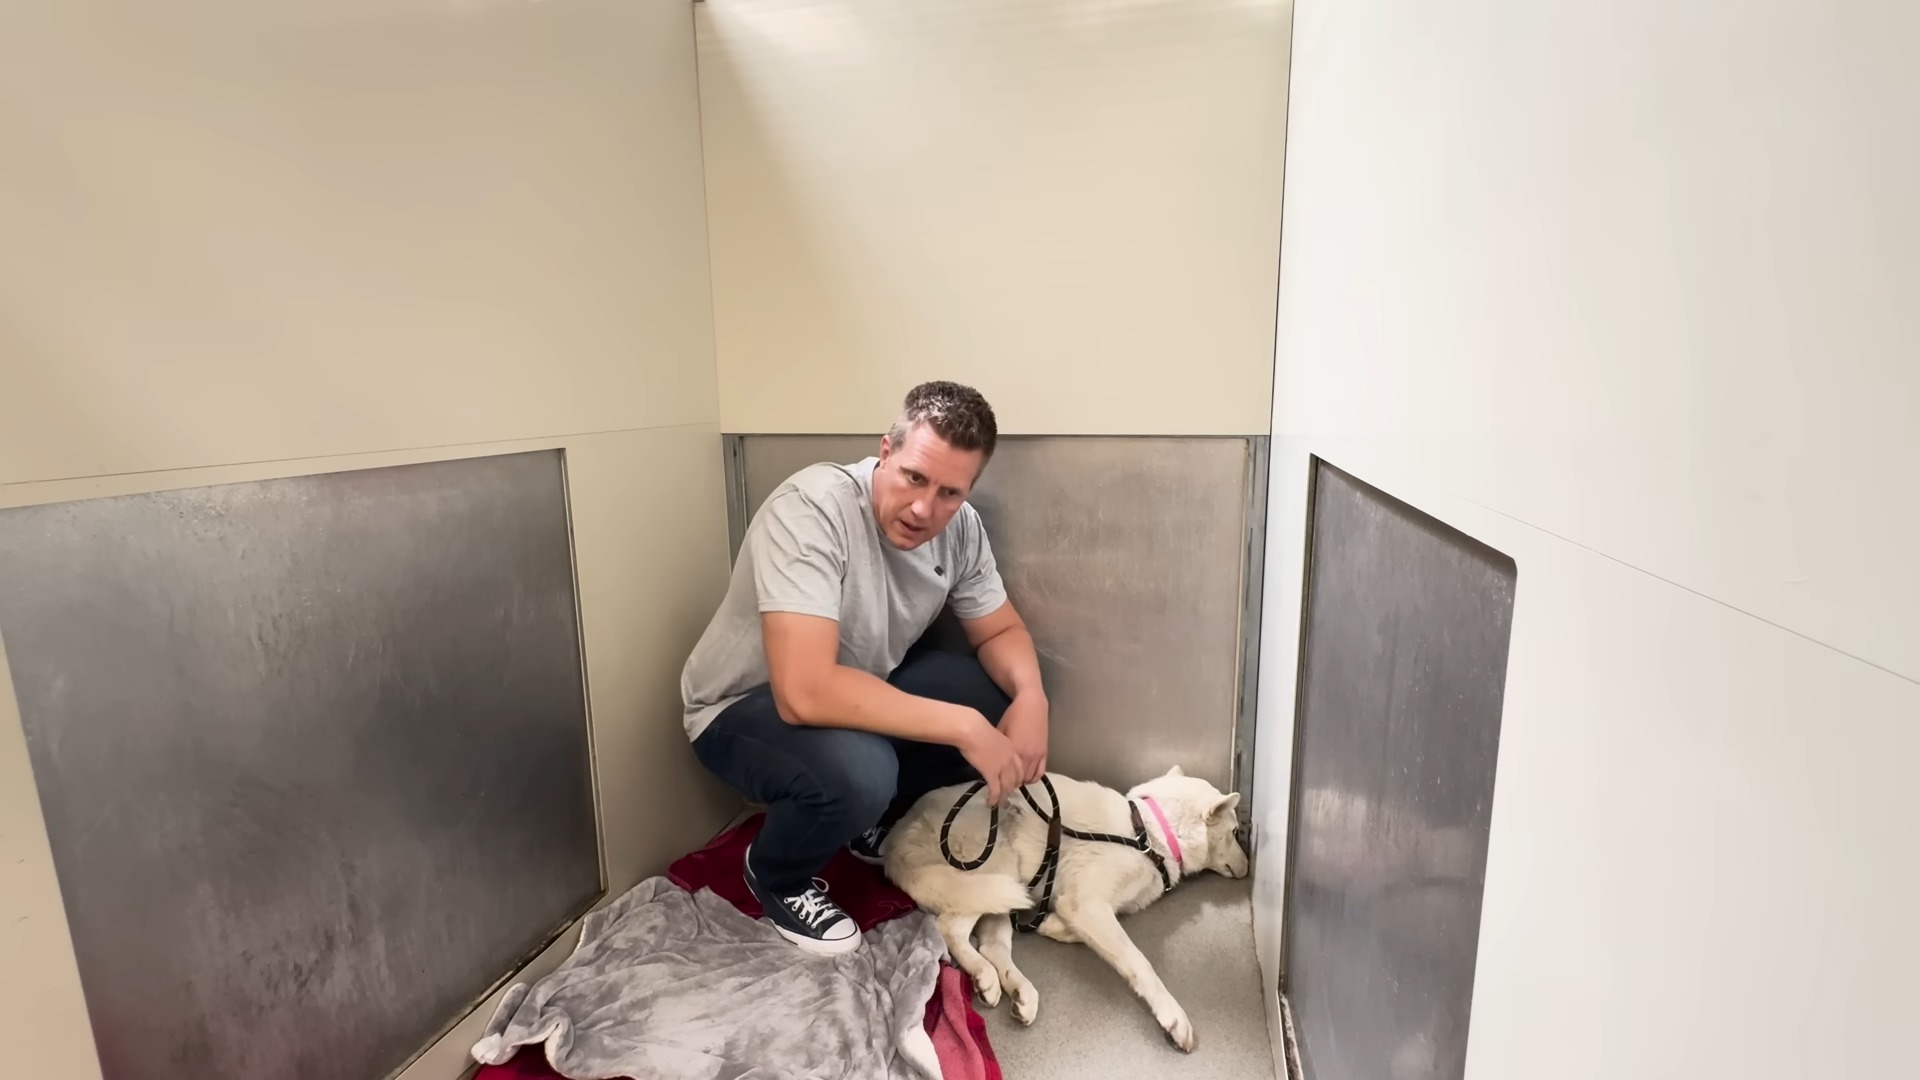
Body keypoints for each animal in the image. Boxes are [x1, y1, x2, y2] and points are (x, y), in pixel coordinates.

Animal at [879, 760, 1251, 1045]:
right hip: (996, 869)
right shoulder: (1087, 904)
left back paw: (1019, 991)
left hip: (1003, 891)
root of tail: (895, 836)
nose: (1249, 867)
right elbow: (1139, 962)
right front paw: (1173, 1017)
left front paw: (1051, 926)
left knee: (992, 946)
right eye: (1235, 833)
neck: (1148, 832)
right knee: (950, 928)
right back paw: (984, 974)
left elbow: (1075, 926)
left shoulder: (1090, 909)